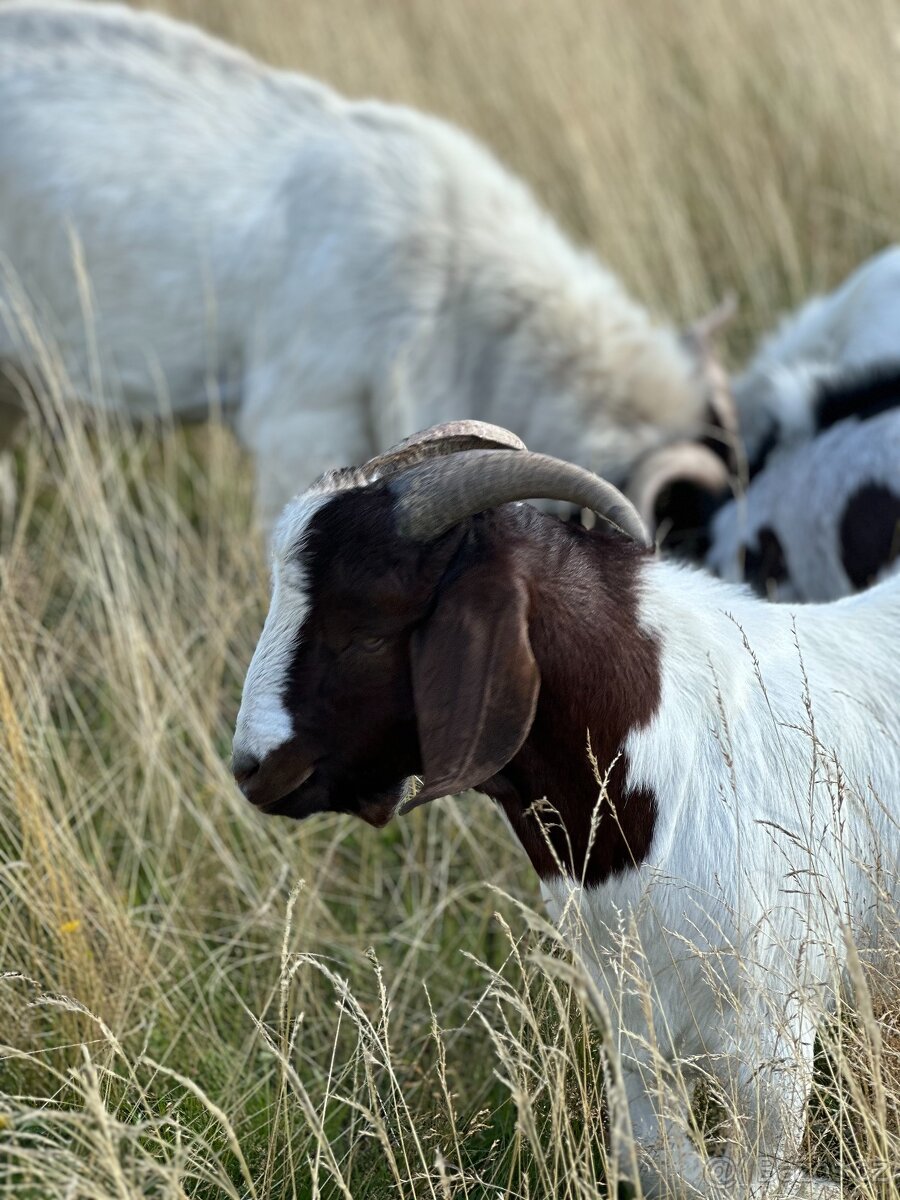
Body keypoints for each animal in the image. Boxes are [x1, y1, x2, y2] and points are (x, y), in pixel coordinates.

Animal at [230, 422, 897, 1200]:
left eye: (366, 626)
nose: (252, 768)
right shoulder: (634, 1016)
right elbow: (657, 1157)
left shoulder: (771, 1025)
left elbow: (750, 1173)